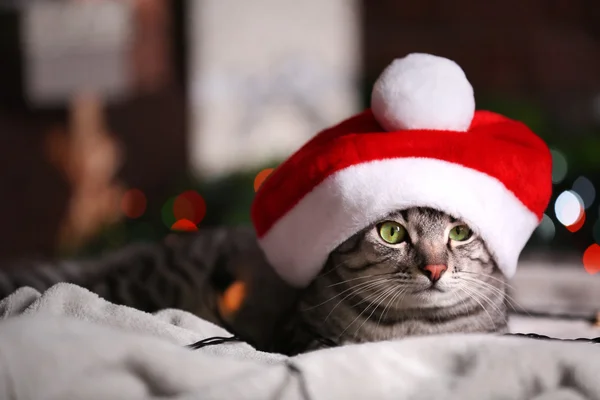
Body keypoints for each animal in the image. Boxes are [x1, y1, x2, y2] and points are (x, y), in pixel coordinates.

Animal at [0, 208, 508, 354]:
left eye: (459, 233)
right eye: (392, 233)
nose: (434, 269)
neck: (416, 326)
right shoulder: (299, 333)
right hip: (142, 285)